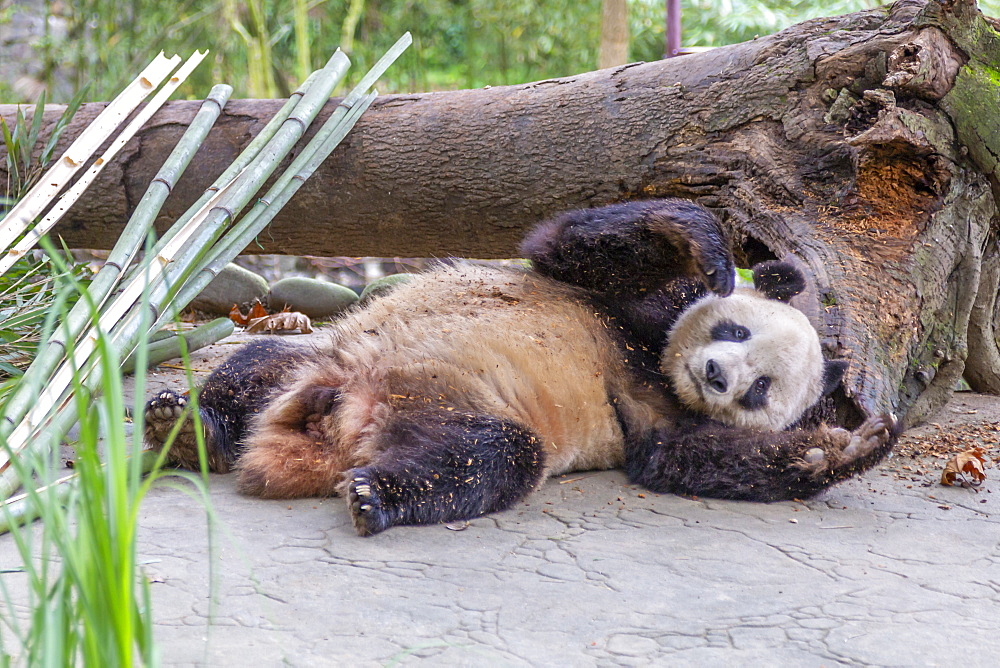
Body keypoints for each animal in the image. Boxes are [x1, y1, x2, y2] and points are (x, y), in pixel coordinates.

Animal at [143, 200, 900, 536]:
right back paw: (185, 425)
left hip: (450, 410)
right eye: (734, 329)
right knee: (259, 364)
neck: (657, 364)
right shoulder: (623, 304)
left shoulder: (656, 416)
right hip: (330, 354)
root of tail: (334, 430)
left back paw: (374, 495)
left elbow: (682, 459)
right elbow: (569, 245)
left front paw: (848, 445)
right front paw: (707, 245)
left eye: (761, 390)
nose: (716, 376)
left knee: (486, 458)